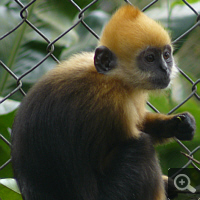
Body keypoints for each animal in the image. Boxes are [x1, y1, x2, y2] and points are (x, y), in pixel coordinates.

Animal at [11, 4, 195, 200]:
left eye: (166, 55)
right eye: (150, 58)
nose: (165, 69)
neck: (112, 79)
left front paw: (178, 125)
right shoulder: (114, 104)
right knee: (142, 147)